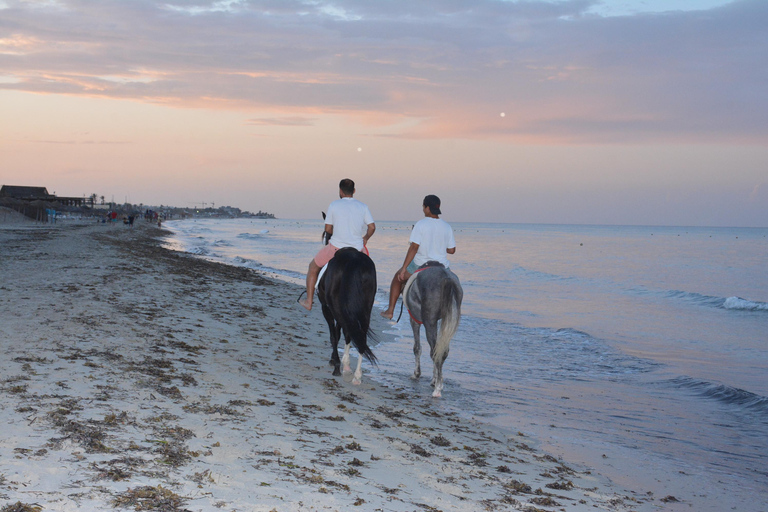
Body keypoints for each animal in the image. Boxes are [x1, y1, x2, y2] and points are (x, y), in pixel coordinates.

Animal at [316, 246, 380, 382]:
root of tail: (353, 261)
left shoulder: (326, 308)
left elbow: (334, 335)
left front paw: (336, 362)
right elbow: (342, 333)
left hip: (335, 307)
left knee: (344, 332)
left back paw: (339, 368)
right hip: (366, 308)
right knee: (360, 334)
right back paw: (357, 376)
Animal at [402, 262, 462, 398]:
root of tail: (447, 278)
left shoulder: (414, 320)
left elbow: (417, 348)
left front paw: (416, 374)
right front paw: (434, 379)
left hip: (429, 323)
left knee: (435, 351)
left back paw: (437, 389)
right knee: (441, 352)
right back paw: (438, 383)